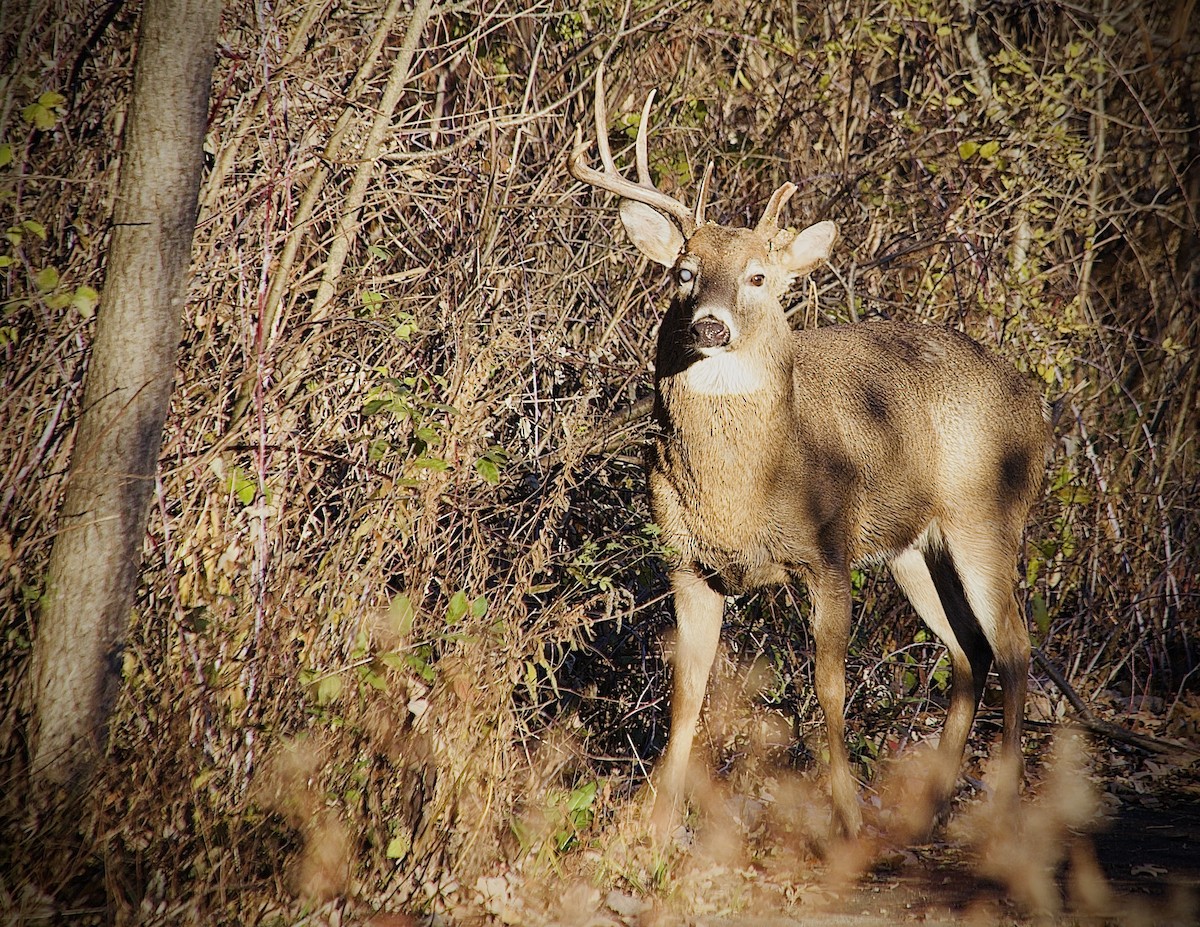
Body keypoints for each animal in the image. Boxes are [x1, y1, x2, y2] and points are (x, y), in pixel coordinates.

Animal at [567, 67, 1051, 841]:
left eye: (759, 276)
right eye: (684, 272)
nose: (710, 323)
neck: (746, 489)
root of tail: (1037, 404)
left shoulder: (827, 550)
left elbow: (829, 686)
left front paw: (847, 817)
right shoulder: (686, 559)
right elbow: (688, 690)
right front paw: (655, 819)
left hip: (987, 515)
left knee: (1015, 647)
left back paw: (998, 812)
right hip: (914, 548)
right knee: (969, 651)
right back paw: (932, 810)